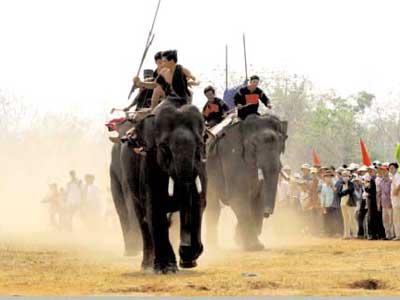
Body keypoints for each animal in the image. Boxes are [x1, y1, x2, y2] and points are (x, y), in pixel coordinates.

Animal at [118, 98, 206, 274]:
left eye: (200, 145)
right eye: (164, 147)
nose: (184, 247)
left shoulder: (202, 168)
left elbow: (198, 204)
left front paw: (188, 260)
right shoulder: (149, 163)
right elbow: (155, 208)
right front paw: (167, 269)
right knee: (143, 219)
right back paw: (147, 266)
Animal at [206, 113, 288, 250]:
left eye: (282, 144)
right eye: (254, 145)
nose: (267, 213)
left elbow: (259, 198)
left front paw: (240, 241)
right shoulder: (232, 155)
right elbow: (238, 198)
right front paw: (256, 247)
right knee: (213, 206)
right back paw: (213, 248)